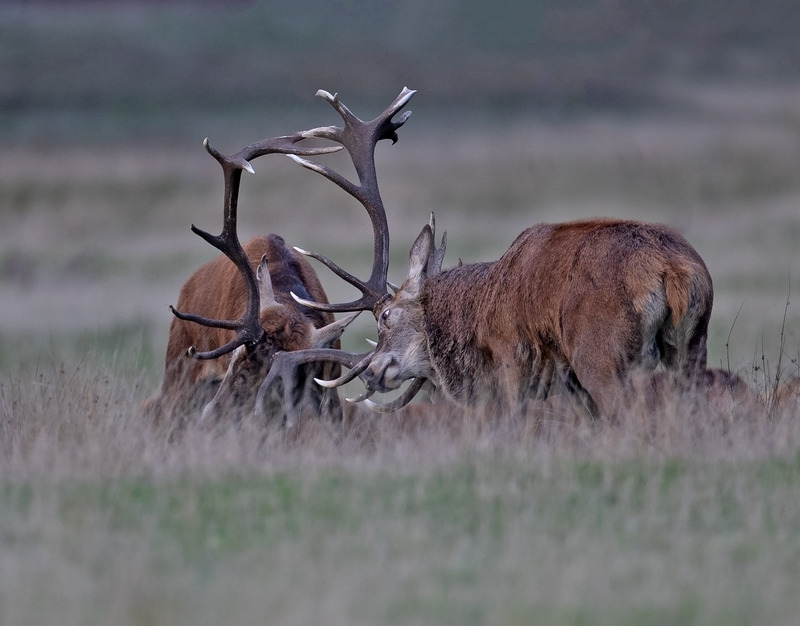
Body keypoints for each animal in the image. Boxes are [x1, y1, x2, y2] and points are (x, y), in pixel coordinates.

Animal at [260, 87, 715, 421]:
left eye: (386, 316)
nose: (371, 371)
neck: (473, 317)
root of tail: (675, 270)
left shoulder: (512, 362)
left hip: (602, 355)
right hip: (692, 349)